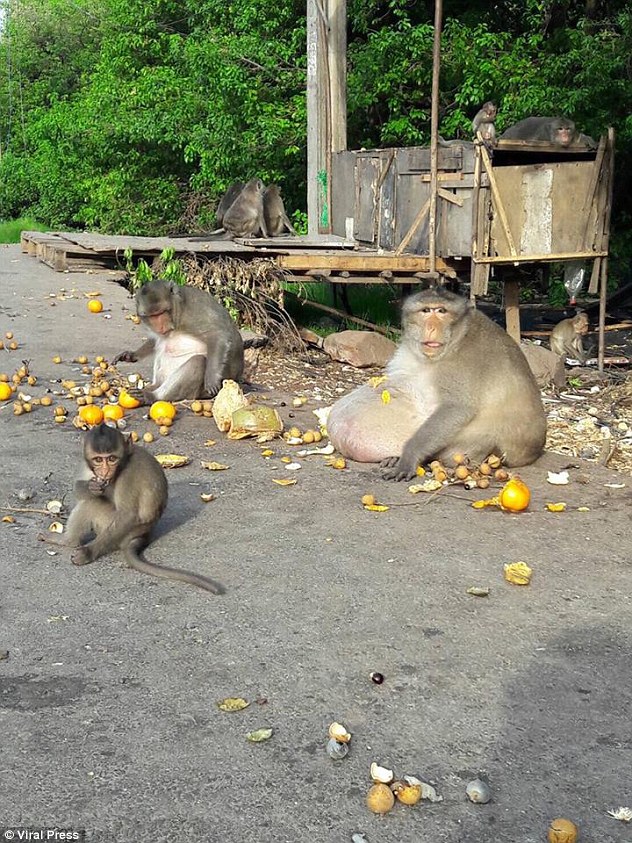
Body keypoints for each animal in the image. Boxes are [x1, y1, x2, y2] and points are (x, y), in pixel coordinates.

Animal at [37, 426, 225, 596]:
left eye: (112, 458)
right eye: (98, 460)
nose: (105, 470)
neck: (125, 460)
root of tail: (143, 535)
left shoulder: (129, 474)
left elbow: (127, 514)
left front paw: (88, 553)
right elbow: (78, 488)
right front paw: (93, 487)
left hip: (113, 530)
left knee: (92, 504)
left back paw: (69, 541)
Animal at [113, 278, 244, 404]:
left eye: (161, 313)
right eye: (152, 316)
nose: (160, 327)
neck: (179, 310)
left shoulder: (193, 314)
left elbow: (218, 335)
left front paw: (211, 379)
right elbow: (156, 338)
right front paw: (131, 355)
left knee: (198, 361)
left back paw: (152, 396)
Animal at [328, 286, 544, 482]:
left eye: (441, 311)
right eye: (426, 311)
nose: (431, 327)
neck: (458, 338)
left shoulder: (463, 363)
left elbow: (457, 408)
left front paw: (409, 455)